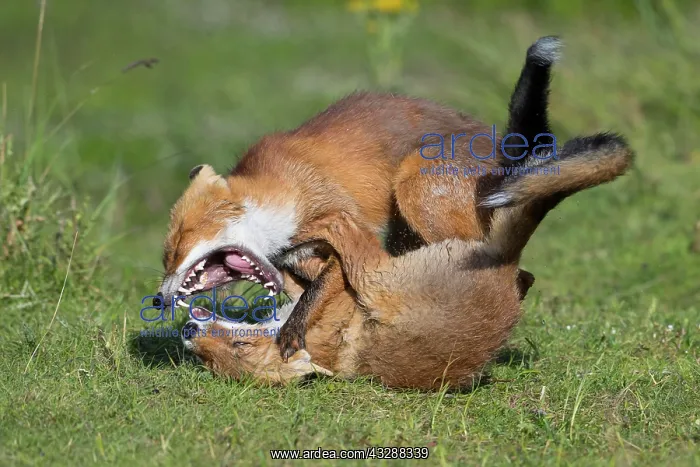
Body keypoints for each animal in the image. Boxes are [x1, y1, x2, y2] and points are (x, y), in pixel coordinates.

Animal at [156, 36, 566, 360]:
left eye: (177, 248)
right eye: (167, 256)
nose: (158, 300)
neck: (285, 194)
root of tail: (499, 144)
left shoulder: (344, 224)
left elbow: (314, 294)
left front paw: (293, 332)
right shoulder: (301, 255)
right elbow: (311, 290)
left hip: (417, 193)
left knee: (516, 272)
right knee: (522, 275)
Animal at [179, 133, 635, 389]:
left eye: (239, 345)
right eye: (212, 363)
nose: (187, 331)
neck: (329, 344)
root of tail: (502, 267)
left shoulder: (322, 296)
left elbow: (305, 281)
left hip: (382, 266)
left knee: (346, 228)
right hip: (379, 276)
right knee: (347, 231)